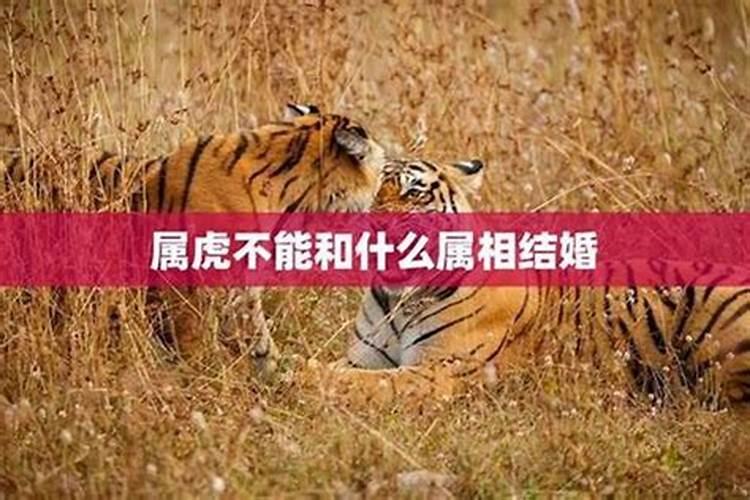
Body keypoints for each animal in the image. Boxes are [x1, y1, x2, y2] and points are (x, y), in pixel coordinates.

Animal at [308, 157, 750, 408]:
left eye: (414, 193)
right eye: (372, 194)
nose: (374, 225)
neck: (400, 301)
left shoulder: (439, 371)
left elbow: (353, 381)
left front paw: (298, 376)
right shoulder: (365, 358)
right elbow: (342, 370)